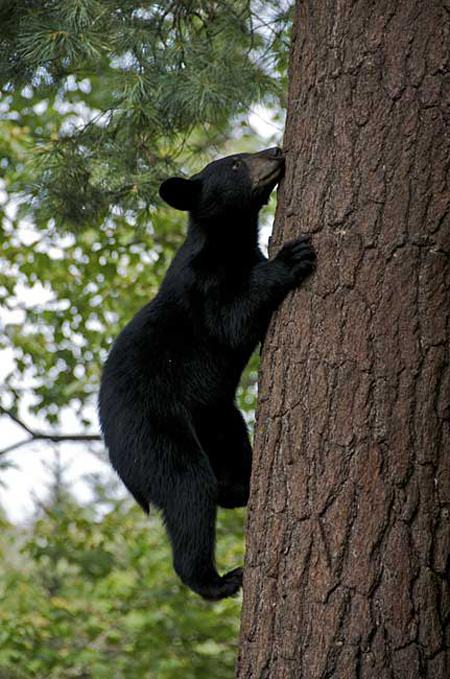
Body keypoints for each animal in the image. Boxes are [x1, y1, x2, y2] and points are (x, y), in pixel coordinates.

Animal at [98, 147, 316, 601]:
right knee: (189, 488)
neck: (227, 241)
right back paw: (216, 580)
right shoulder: (202, 286)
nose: (275, 150)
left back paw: (245, 484)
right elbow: (230, 319)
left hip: (217, 415)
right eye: (235, 163)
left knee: (227, 470)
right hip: (153, 428)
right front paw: (291, 258)